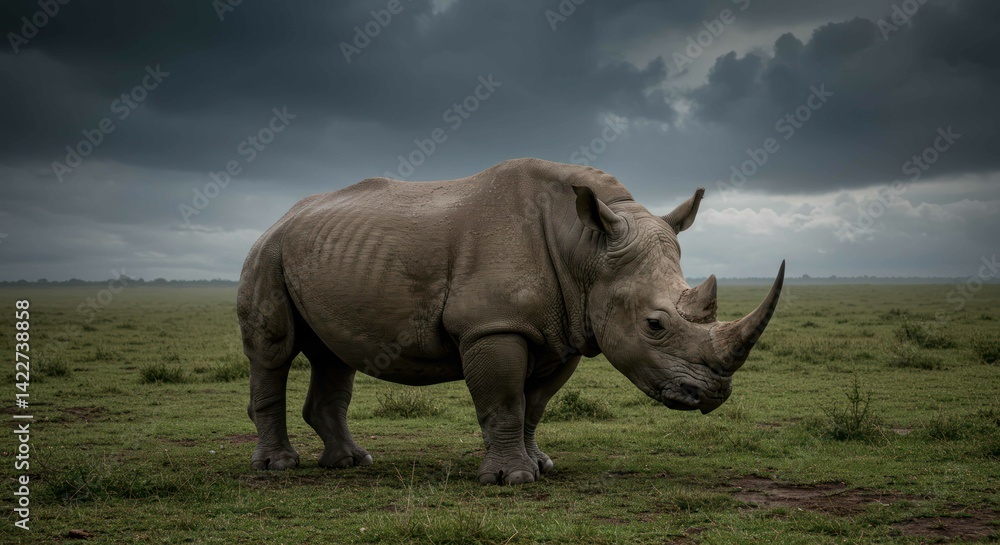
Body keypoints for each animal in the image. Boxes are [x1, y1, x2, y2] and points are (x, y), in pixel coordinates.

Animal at [237, 158, 784, 484]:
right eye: (655, 325)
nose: (713, 395)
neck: (586, 248)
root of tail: (282, 216)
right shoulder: (493, 325)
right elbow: (503, 401)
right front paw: (510, 480)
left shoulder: (565, 331)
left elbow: (533, 406)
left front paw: (540, 465)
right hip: (268, 253)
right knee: (273, 350)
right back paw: (277, 468)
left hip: (320, 254)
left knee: (334, 356)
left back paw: (352, 463)